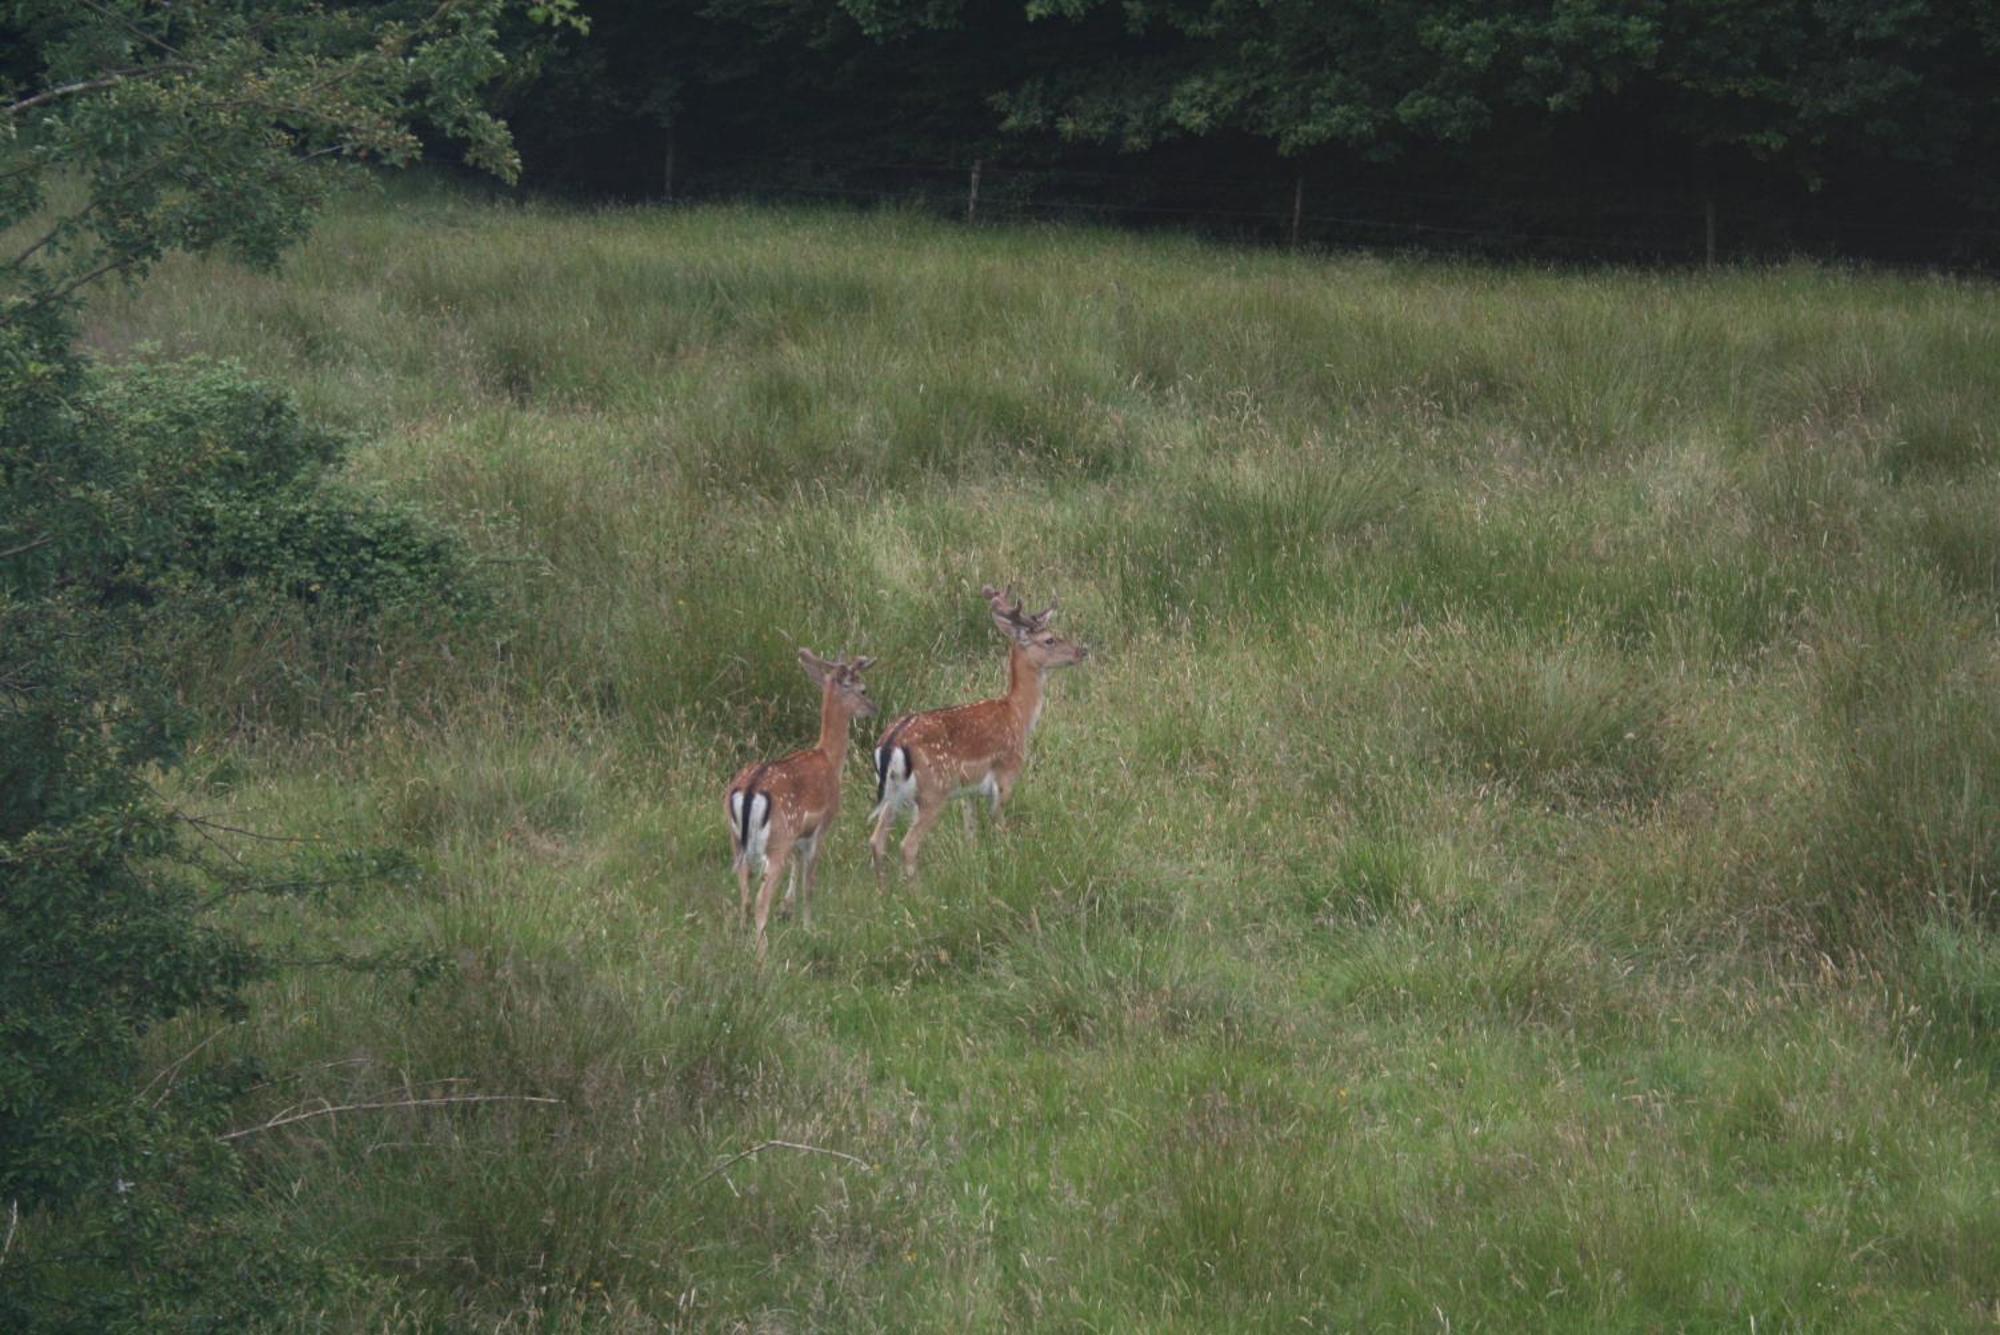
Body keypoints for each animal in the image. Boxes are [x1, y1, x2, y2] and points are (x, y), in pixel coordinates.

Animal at [724, 647, 872, 959]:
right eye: (863, 688)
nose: (873, 708)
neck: (829, 759)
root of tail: (749, 790)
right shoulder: (822, 825)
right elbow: (809, 882)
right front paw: (808, 927)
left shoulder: (799, 833)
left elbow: (797, 868)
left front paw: (788, 912)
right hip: (776, 839)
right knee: (760, 898)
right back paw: (762, 953)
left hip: (736, 841)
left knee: (744, 891)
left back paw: (741, 940)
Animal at [868, 579, 1088, 875]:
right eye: (1049, 639)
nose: (1081, 651)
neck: (1018, 714)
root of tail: (890, 743)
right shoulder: (1006, 774)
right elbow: (999, 825)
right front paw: (1008, 860)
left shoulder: (968, 792)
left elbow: (970, 833)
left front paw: (972, 863)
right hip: (933, 790)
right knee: (908, 845)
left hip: (892, 793)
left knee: (876, 840)